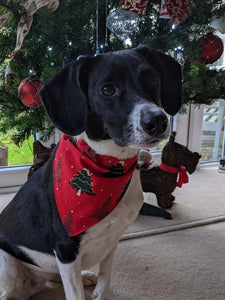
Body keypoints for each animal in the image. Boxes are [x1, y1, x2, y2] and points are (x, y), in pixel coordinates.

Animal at [0, 45, 181, 298]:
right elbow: (75, 293)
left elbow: (105, 278)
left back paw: (84, 276)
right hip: (6, 263)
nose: (158, 121)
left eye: (153, 79)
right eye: (107, 89)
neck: (111, 167)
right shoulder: (66, 249)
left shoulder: (112, 240)